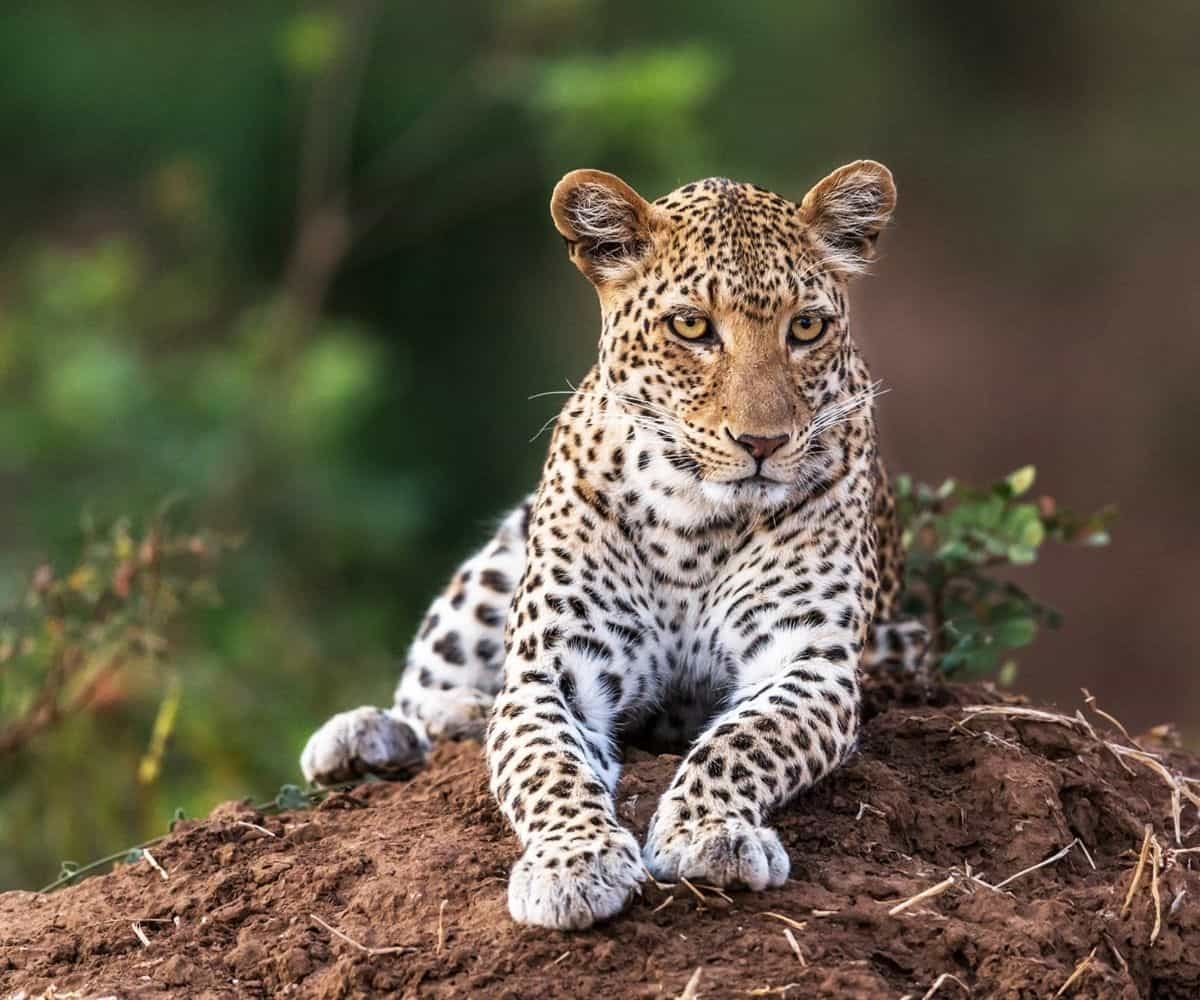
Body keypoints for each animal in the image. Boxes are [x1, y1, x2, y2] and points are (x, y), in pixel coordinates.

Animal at [300, 160, 928, 931]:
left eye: (806, 327)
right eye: (692, 326)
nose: (763, 443)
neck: (697, 525)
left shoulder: (809, 665)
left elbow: (744, 740)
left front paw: (710, 833)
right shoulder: (554, 672)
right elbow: (548, 766)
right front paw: (574, 863)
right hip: (489, 572)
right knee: (426, 696)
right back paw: (381, 733)